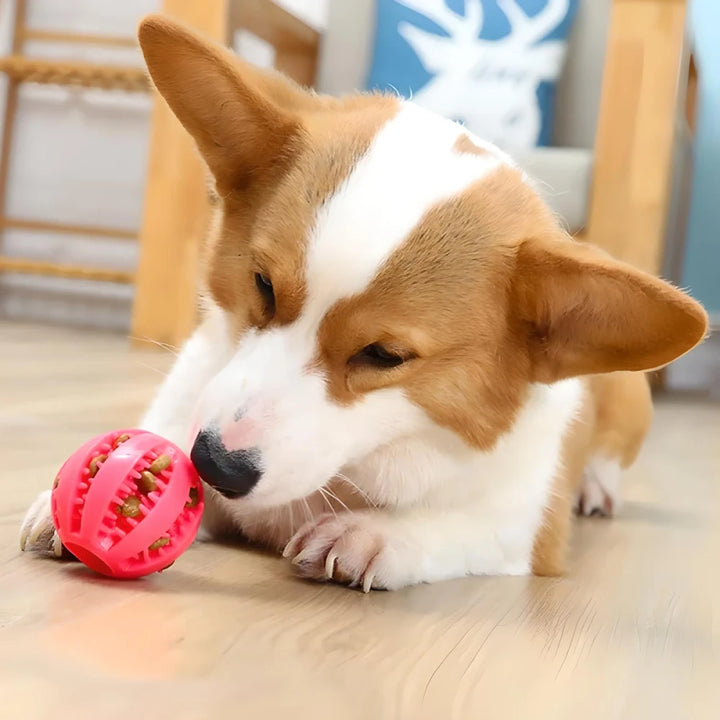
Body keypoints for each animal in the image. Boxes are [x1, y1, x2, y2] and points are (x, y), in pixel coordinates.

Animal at [18, 16, 708, 592]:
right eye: (262, 285)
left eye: (384, 354)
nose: (214, 465)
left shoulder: (523, 533)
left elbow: (452, 527)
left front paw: (373, 535)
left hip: (628, 401)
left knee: (609, 462)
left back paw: (597, 489)